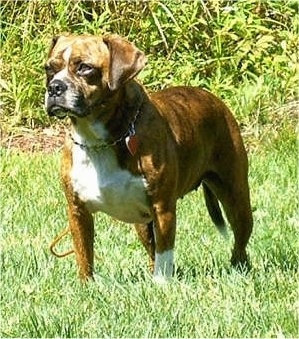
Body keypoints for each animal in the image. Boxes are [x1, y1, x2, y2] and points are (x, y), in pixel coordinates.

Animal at [45, 33, 253, 284]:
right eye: (49, 68)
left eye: (85, 68)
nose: (54, 87)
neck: (98, 140)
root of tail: (215, 100)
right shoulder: (78, 212)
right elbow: (84, 254)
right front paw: (86, 285)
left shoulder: (162, 209)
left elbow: (164, 253)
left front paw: (162, 284)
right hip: (142, 224)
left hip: (236, 197)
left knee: (240, 241)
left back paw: (238, 268)